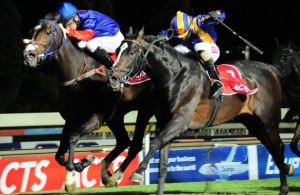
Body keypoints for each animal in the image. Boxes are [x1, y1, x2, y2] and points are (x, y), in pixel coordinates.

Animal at [22, 13, 157, 192]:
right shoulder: (71, 120)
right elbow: (59, 154)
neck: (78, 75)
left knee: (134, 145)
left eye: (48, 32)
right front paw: (83, 162)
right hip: (115, 117)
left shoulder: (95, 120)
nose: (28, 55)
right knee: (124, 141)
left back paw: (116, 176)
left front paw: (71, 178)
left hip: (145, 109)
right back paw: (107, 174)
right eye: (32, 31)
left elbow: (72, 138)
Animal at [108, 27, 296, 195]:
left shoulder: (181, 121)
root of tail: (270, 69)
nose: (113, 78)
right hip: (253, 123)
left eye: (132, 52)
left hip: (269, 120)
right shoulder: (165, 124)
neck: (174, 75)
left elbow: (155, 142)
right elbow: (162, 165)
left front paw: (136, 171)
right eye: (117, 50)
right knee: (271, 147)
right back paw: (287, 169)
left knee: (278, 148)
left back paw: (284, 187)